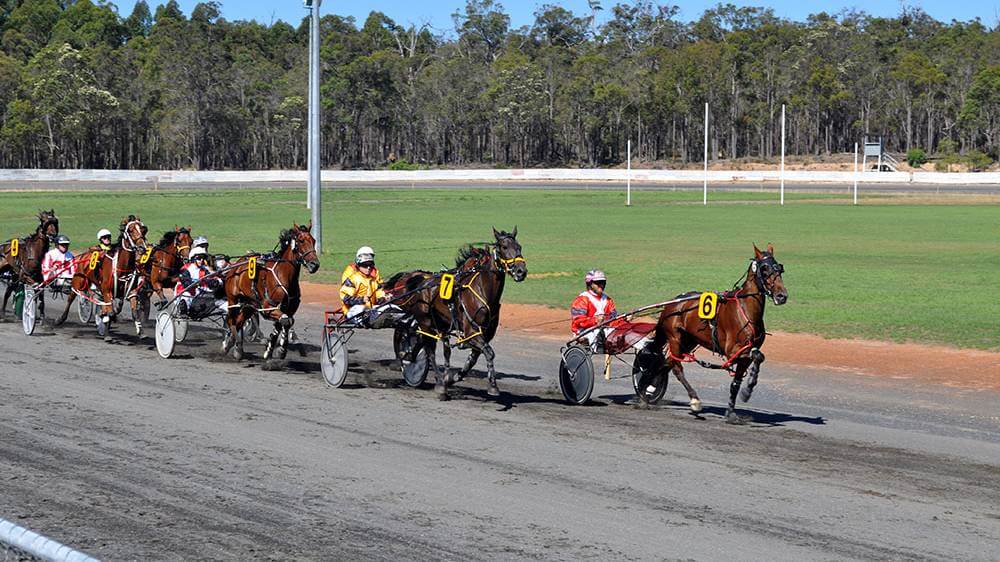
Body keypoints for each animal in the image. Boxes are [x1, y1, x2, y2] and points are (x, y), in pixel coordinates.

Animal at [223, 222, 320, 358]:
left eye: (314, 240)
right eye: (301, 241)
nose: (314, 265)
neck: (284, 275)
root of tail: (235, 266)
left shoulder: (289, 309)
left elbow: (287, 321)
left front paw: (275, 348)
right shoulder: (268, 307)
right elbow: (285, 320)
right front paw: (278, 349)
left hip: (249, 304)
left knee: (239, 321)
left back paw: (237, 347)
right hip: (233, 300)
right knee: (231, 320)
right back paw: (228, 343)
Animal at [386, 228, 528, 398]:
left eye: (519, 247)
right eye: (504, 247)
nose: (521, 271)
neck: (482, 292)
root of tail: (417, 280)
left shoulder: (484, 334)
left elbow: (473, 359)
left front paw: (452, 378)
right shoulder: (470, 332)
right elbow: (489, 352)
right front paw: (493, 386)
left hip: (437, 322)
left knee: (422, 344)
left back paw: (409, 358)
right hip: (425, 322)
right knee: (429, 350)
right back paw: (438, 382)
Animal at [648, 243, 788, 422]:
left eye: (779, 268)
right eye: (764, 269)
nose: (782, 296)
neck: (745, 311)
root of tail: (672, 303)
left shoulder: (744, 356)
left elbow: (737, 382)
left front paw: (733, 410)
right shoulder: (733, 351)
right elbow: (758, 355)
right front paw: (749, 387)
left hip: (689, 340)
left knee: (666, 363)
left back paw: (649, 388)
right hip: (675, 338)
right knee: (676, 367)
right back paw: (694, 400)